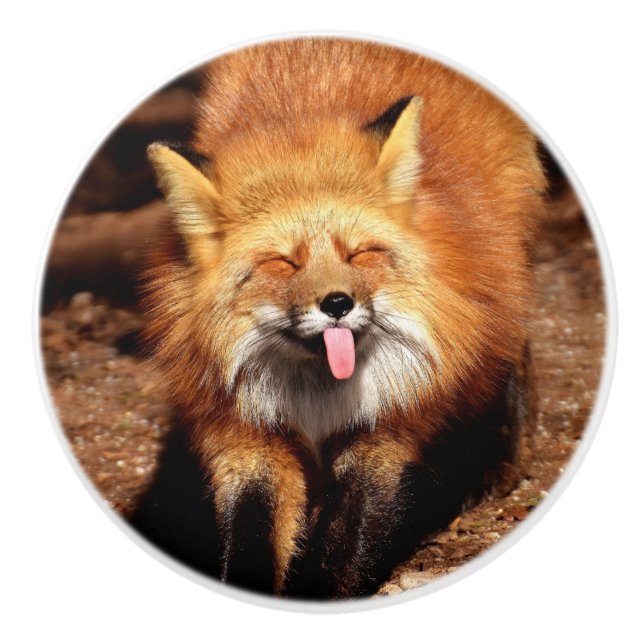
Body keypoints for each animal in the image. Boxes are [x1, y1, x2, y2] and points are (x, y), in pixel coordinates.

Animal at [139, 38, 546, 599]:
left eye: (359, 254)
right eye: (283, 262)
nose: (336, 303)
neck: (317, 399)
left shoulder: (387, 427)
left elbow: (350, 538)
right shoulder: (245, 434)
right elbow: (251, 531)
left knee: (512, 348)